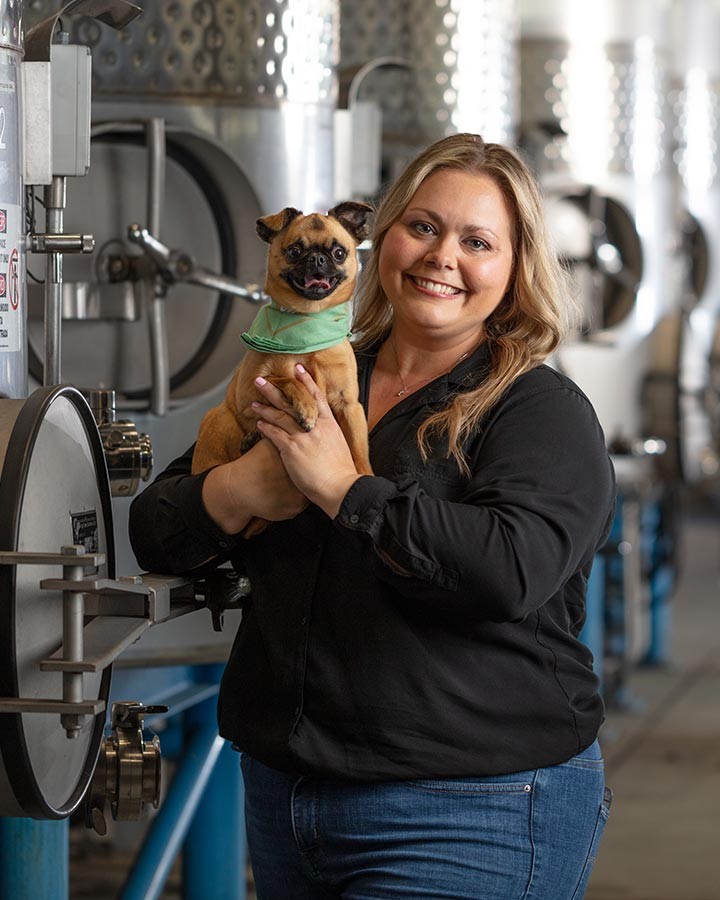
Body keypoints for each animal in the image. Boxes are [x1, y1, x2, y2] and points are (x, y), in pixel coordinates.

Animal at [191, 202, 374, 536]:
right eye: (294, 251)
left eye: (339, 253)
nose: (317, 258)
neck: (308, 325)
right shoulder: (251, 388)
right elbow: (286, 378)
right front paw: (307, 407)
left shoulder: (349, 406)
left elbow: (358, 449)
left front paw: (366, 474)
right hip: (218, 418)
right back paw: (251, 441)